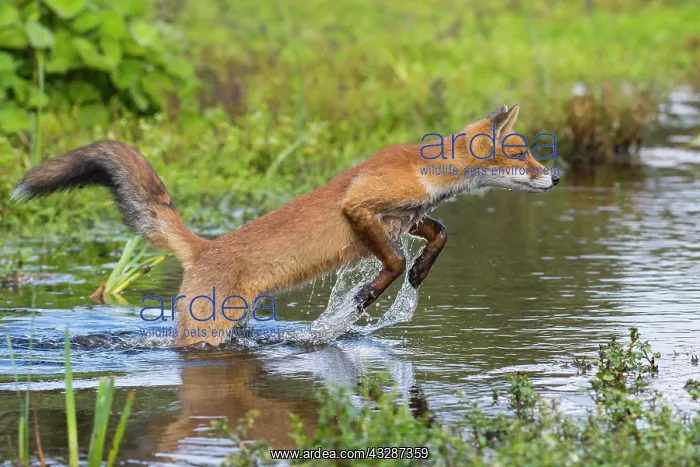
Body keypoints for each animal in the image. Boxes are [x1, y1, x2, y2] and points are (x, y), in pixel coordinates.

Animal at [12, 104, 558, 347]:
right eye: (522, 155)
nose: (555, 176)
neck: (429, 172)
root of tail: (202, 247)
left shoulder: (403, 218)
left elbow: (440, 233)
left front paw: (420, 273)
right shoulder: (361, 207)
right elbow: (391, 261)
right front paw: (365, 297)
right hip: (206, 331)